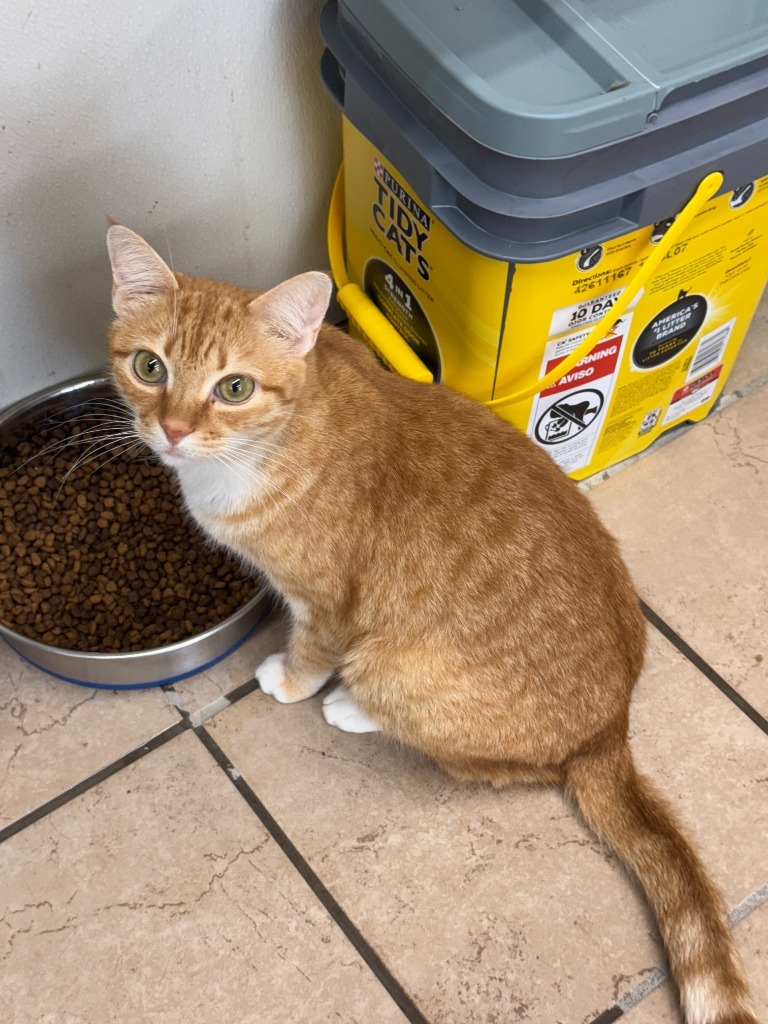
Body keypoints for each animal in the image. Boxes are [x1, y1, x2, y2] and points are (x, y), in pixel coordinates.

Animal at [107, 226, 757, 1024]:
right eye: (149, 366)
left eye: (233, 388)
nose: (170, 431)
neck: (276, 435)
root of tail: (612, 729)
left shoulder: (330, 602)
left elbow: (311, 647)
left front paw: (289, 681)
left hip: (396, 665)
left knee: (498, 764)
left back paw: (353, 708)